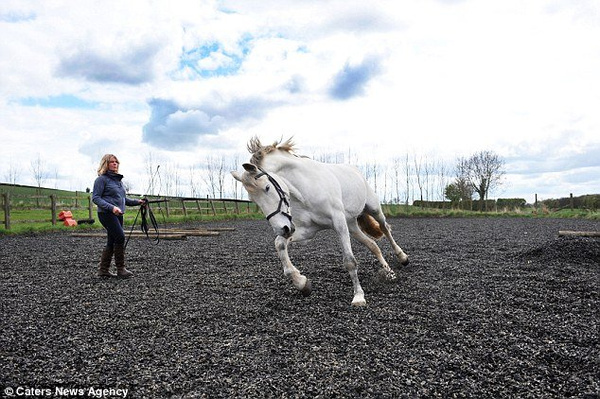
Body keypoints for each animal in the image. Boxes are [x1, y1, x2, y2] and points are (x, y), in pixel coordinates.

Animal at [230, 138, 408, 306]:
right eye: (253, 199)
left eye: (267, 188)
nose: (283, 228)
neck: (305, 189)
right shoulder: (307, 231)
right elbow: (279, 244)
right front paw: (302, 283)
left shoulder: (339, 223)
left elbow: (350, 261)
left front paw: (358, 297)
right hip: (351, 225)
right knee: (373, 245)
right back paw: (389, 273)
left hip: (373, 210)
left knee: (385, 229)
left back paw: (402, 258)